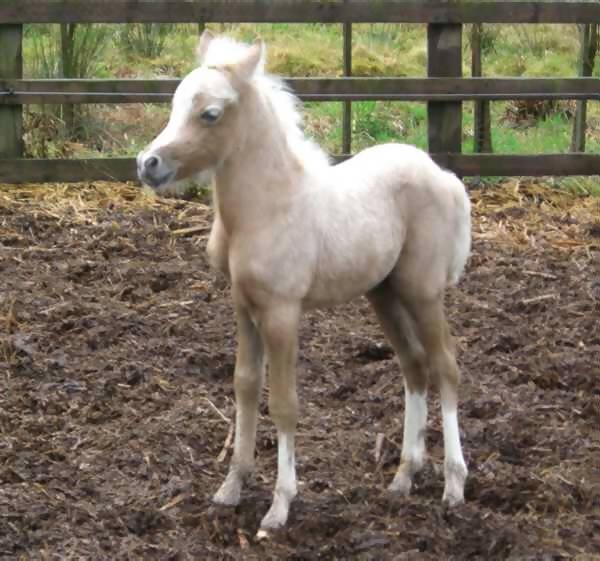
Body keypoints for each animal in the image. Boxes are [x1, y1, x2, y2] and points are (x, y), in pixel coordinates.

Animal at [138, 32, 472, 536]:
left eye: (209, 113)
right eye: (175, 104)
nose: (148, 164)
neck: (267, 207)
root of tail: (443, 175)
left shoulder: (281, 312)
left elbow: (284, 402)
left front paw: (280, 505)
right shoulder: (243, 306)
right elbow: (245, 385)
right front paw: (231, 488)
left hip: (422, 290)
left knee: (446, 366)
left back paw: (454, 484)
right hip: (384, 292)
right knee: (414, 365)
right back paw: (403, 476)